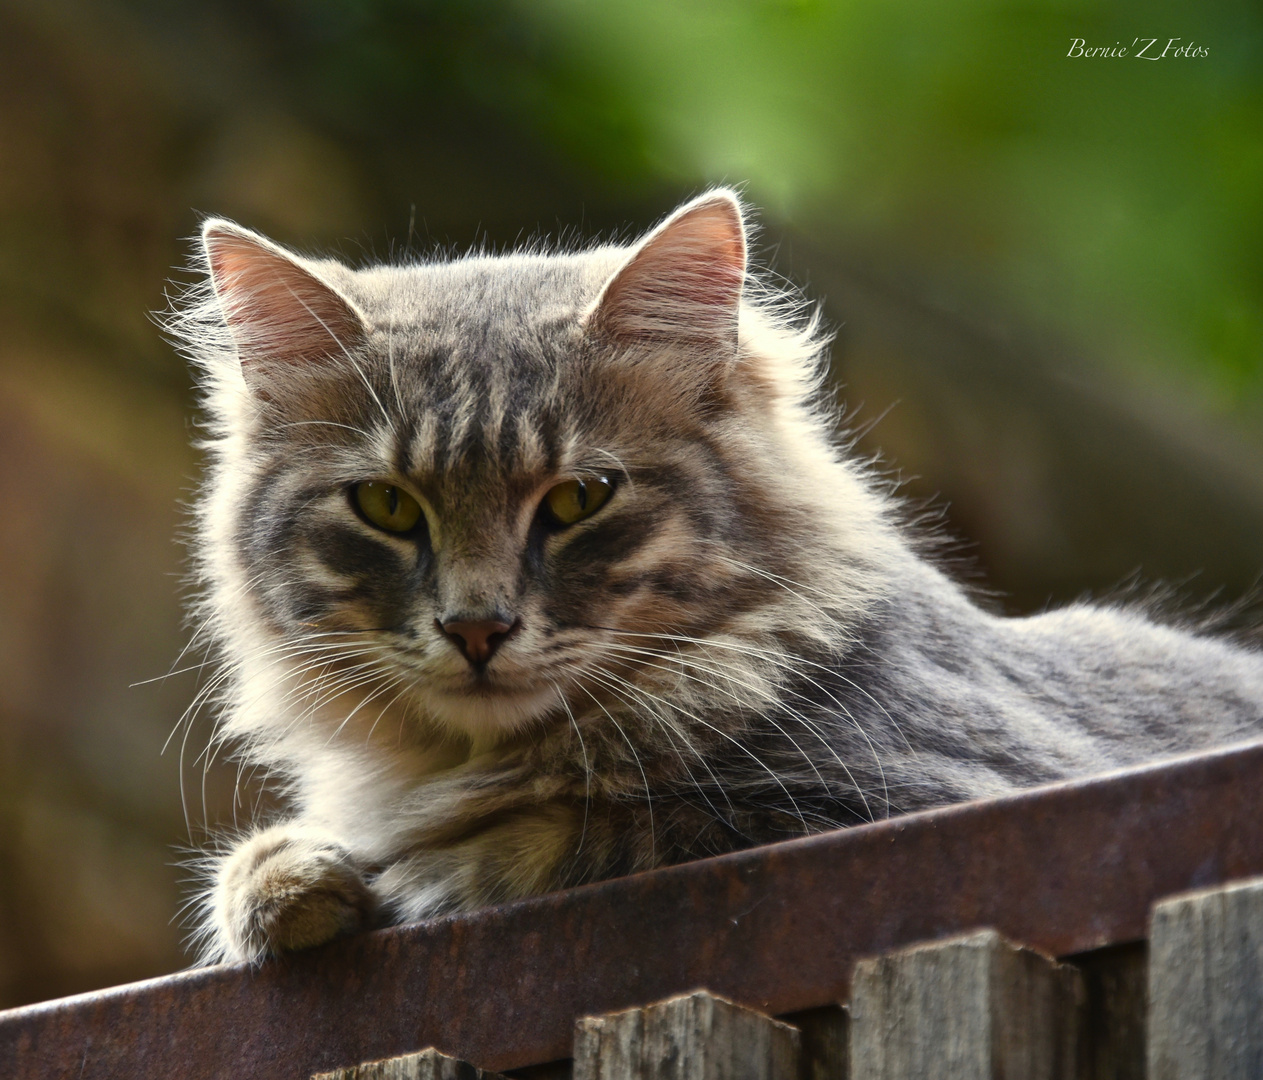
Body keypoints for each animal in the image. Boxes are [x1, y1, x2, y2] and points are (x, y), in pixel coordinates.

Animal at [167, 185, 1263, 965]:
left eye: (579, 499)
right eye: (388, 507)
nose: (477, 628)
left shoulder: (931, 801)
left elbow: (586, 834)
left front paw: (383, 879)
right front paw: (286, 882)